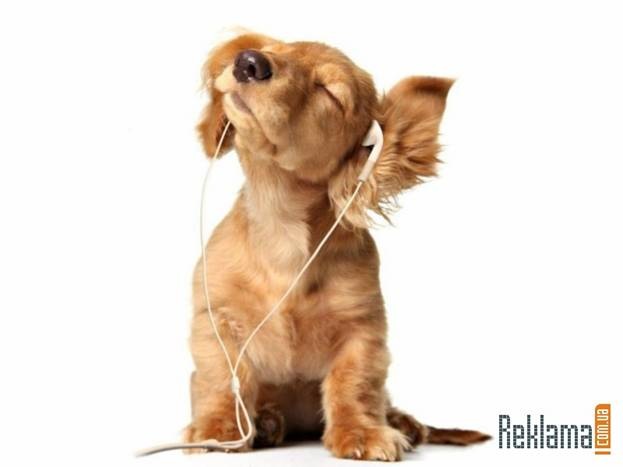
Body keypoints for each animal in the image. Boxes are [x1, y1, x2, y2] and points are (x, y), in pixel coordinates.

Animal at [184, 32, 489, 461]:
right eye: (276, 51)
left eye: (328, 91)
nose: (249, 62)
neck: (282, 229)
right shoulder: (215, 319)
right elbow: (220, 378)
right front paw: (217, 428)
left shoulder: (362, 327)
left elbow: (354, 383)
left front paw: (361, 432)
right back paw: (267, 421)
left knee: (384, 400)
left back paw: (402, 423)